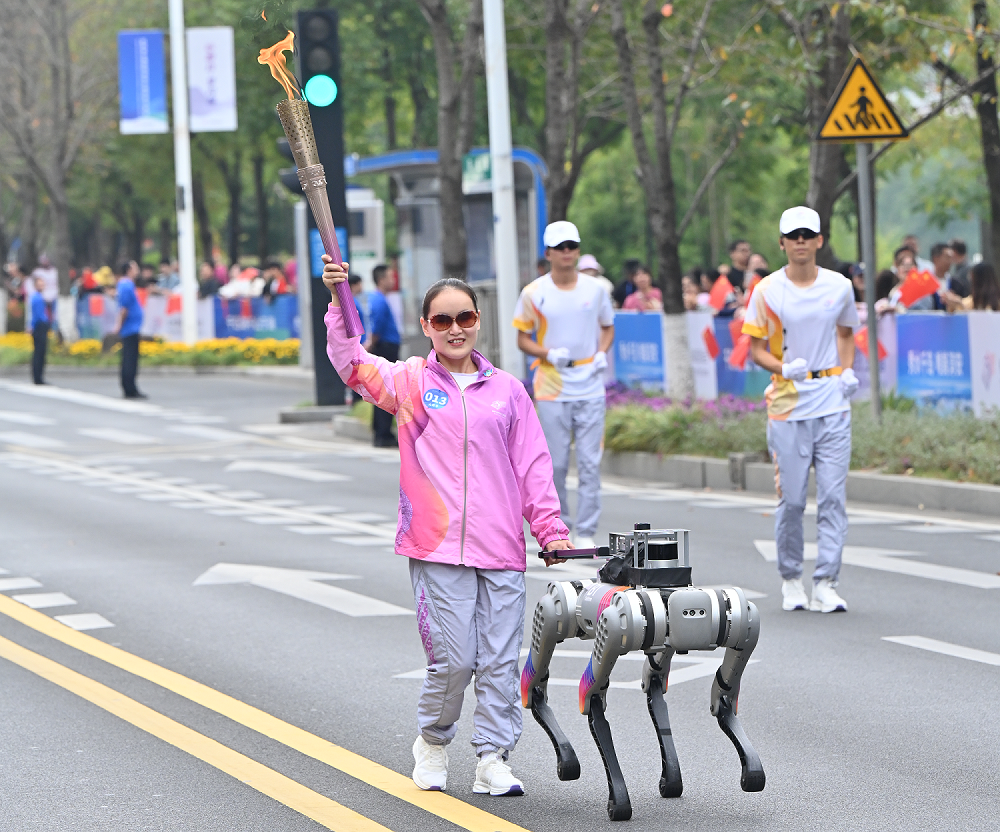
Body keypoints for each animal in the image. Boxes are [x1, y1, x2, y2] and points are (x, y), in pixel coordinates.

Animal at [524, 528, 764, 820]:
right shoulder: (618, 623)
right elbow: (593, 695)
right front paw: (618, 800)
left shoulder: (737, 620)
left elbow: (722, 687)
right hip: (568, 613)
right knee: (549, 626)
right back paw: (539, 706)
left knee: (656, 679)